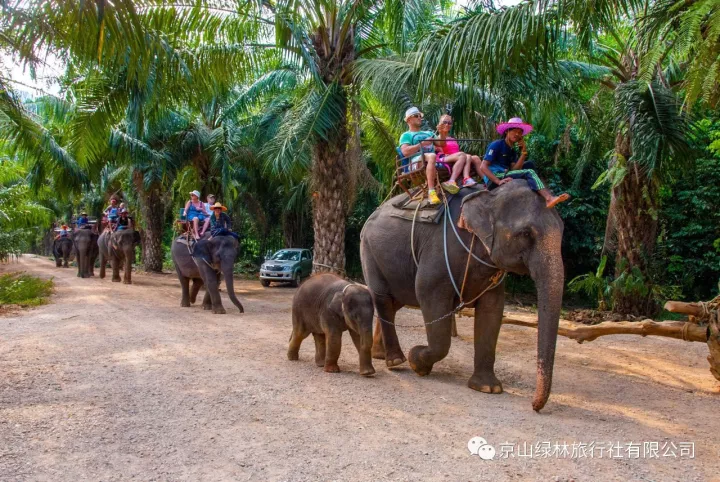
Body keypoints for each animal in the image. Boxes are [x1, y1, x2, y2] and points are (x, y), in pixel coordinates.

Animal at [362, 183, 564, 412]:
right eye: (525, 233)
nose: (534, 406)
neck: (489, 197)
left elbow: (492, 310)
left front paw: (488, 388)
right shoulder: (438, 256)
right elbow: (427, 294)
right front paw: (416, 361)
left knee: (394, 303)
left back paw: (380, 354)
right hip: (369, 251)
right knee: (382, 298)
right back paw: (396, 361)